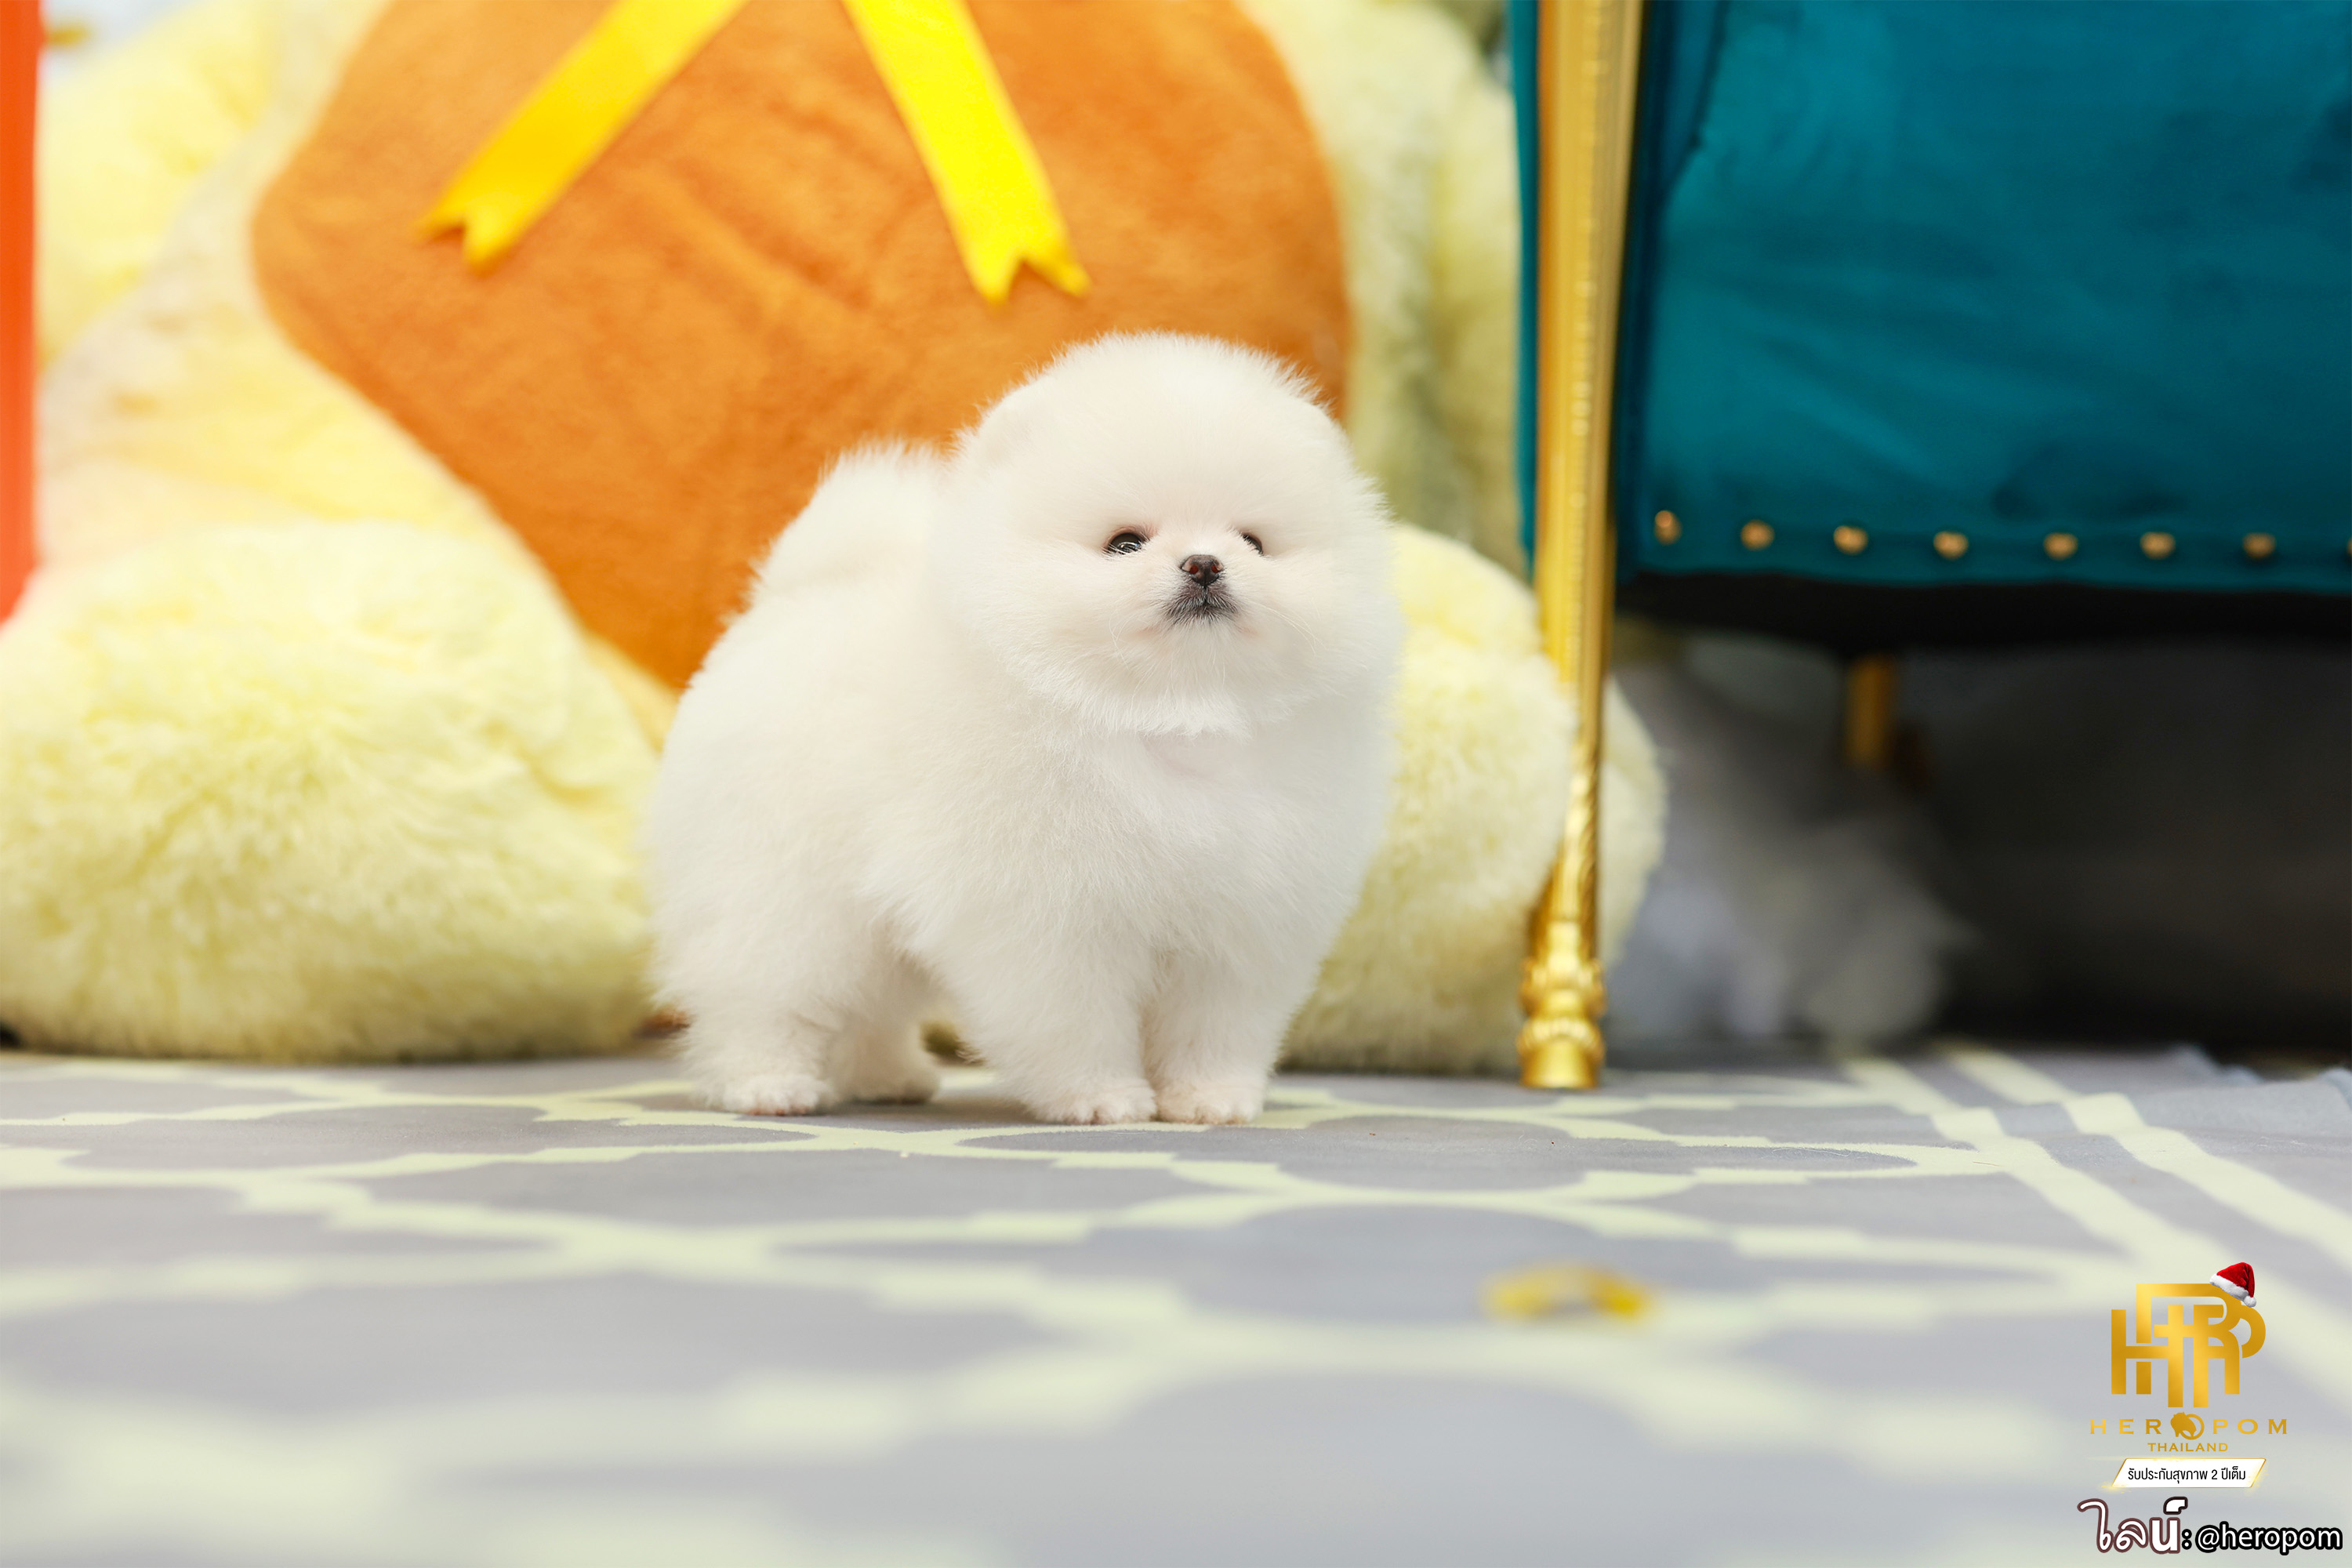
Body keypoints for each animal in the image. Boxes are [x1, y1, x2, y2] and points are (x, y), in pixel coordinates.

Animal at [644, 334, 1401, 1124]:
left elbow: (1215, 1027)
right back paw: (768, 1084)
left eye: (1253, 541)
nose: (1204, 563)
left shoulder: (1242, 923)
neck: (1168, 717)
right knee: (760, 994)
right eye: (1124, 544)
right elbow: (1078, 1022)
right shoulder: (1051, 919)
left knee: (869, 1006)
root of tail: (786, 601)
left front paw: (1210, 1098)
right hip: (783, 890)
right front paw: (1104, 1098)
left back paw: (888, 1075)